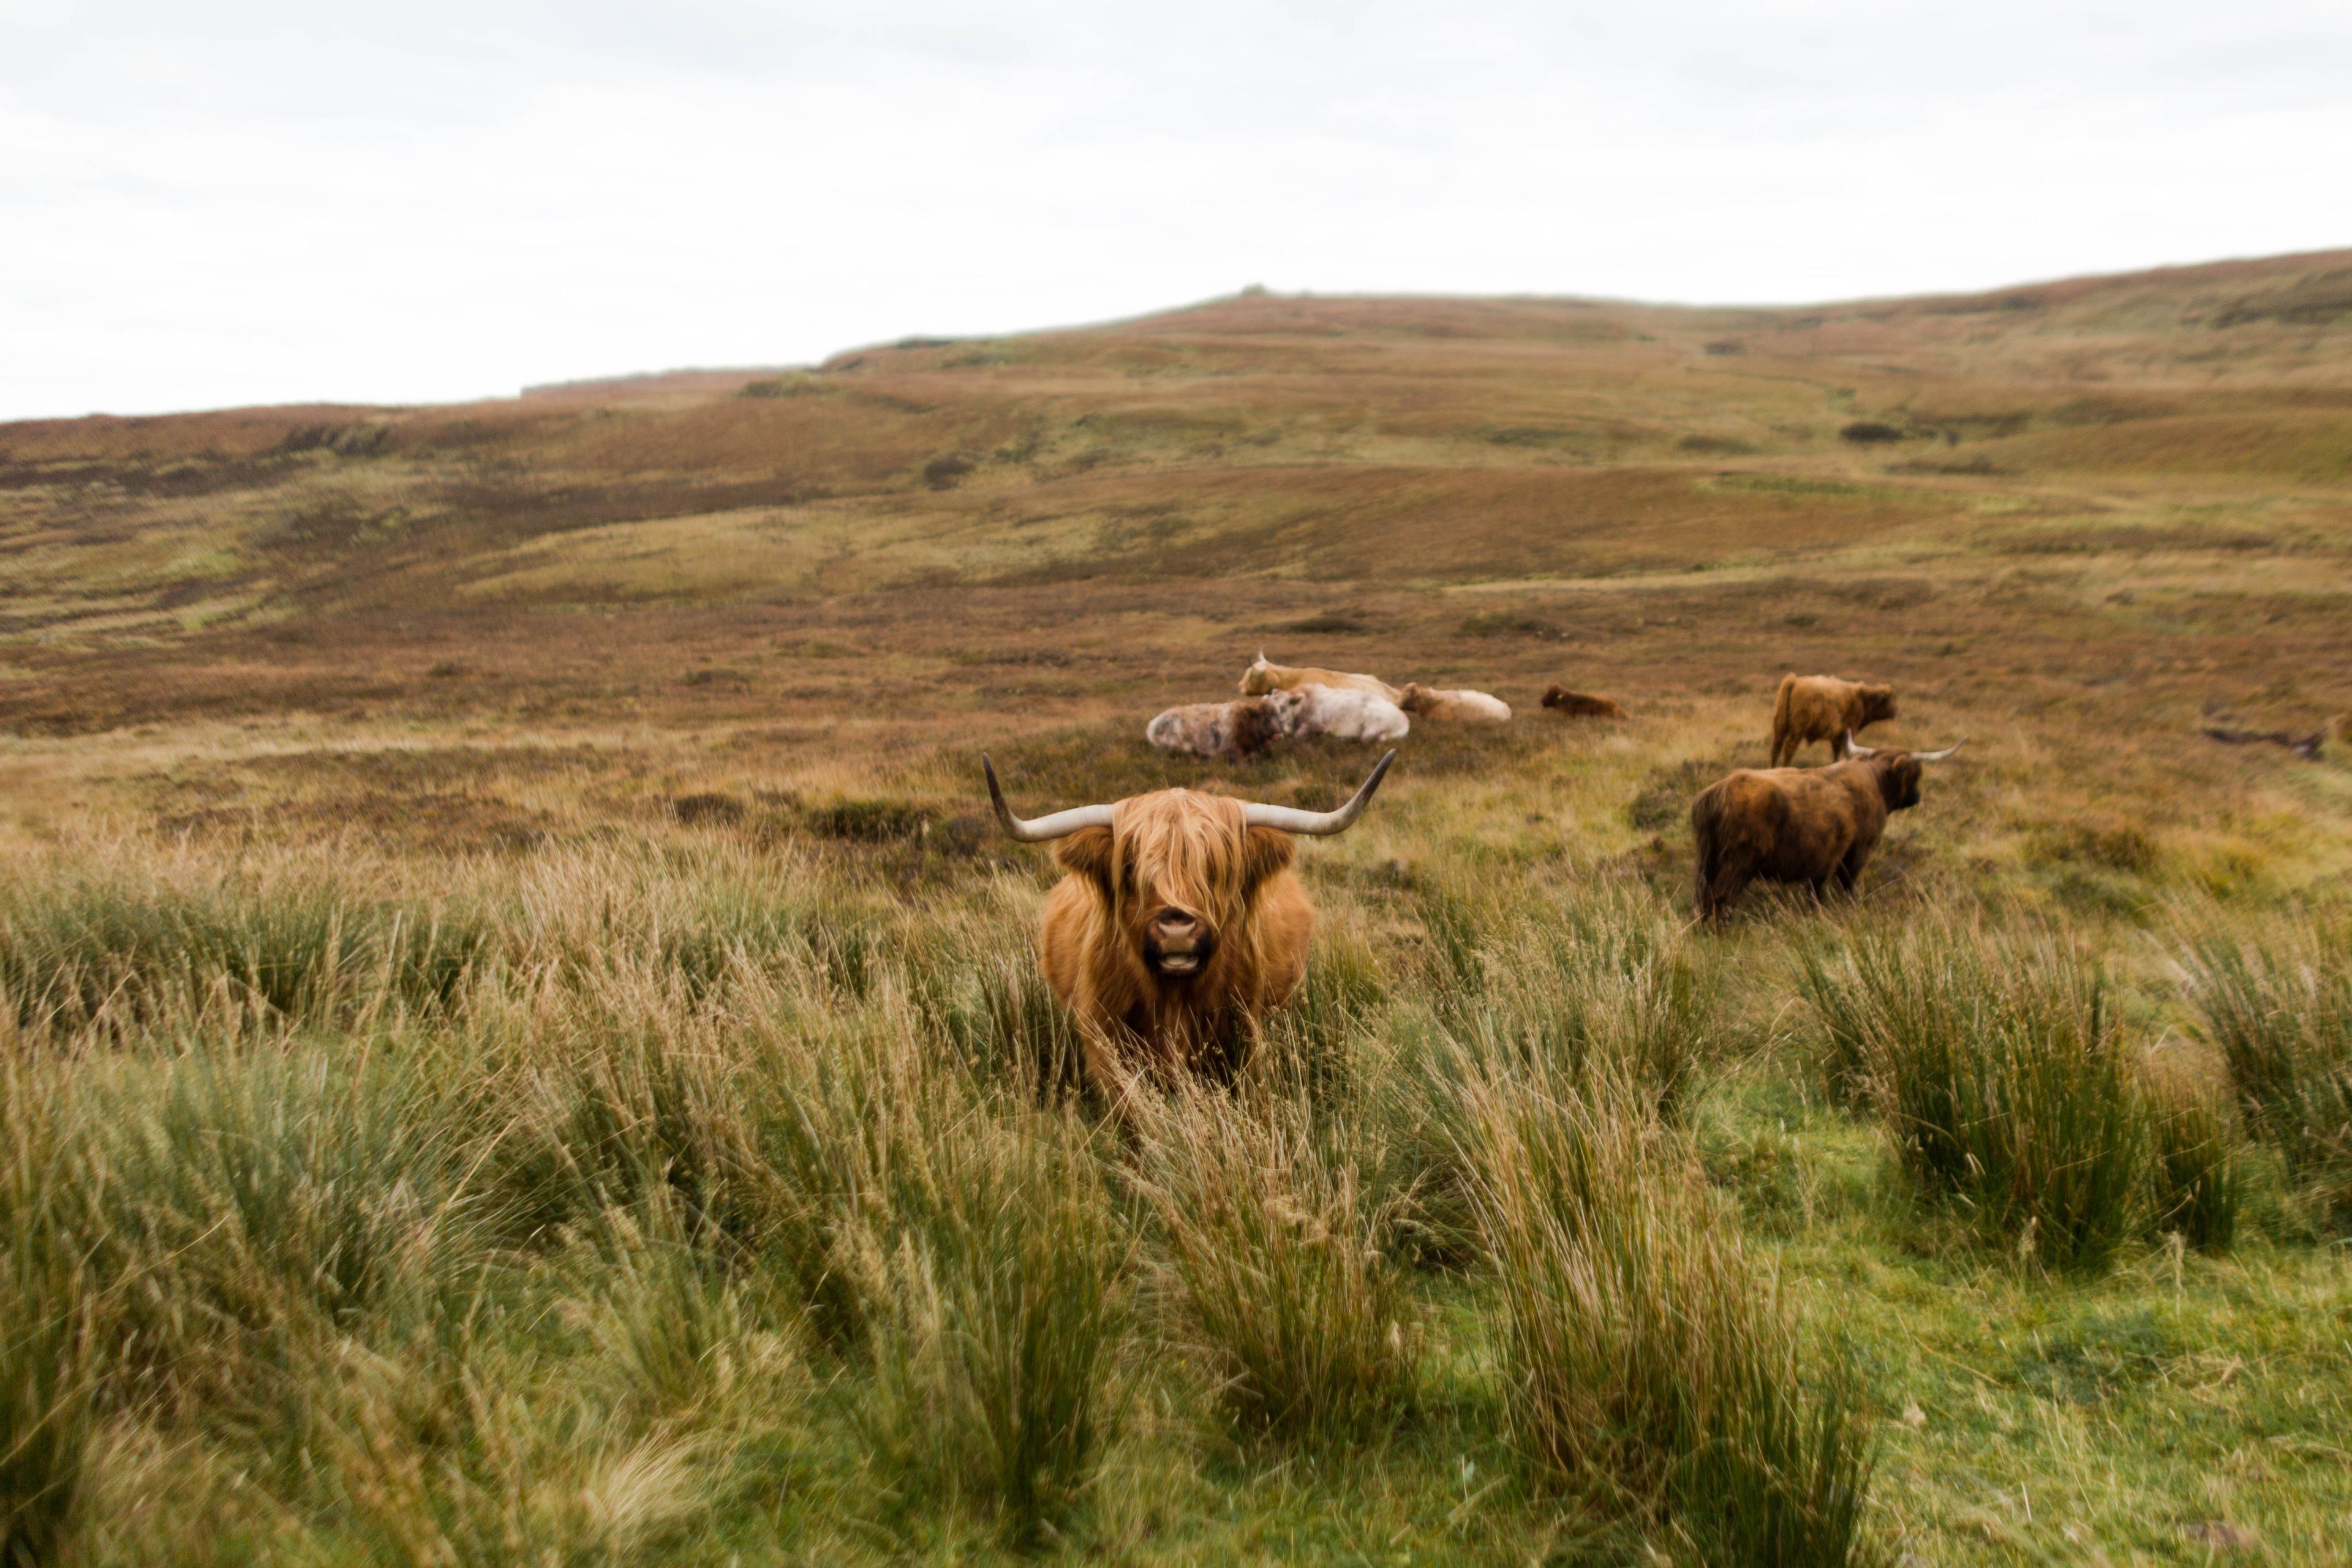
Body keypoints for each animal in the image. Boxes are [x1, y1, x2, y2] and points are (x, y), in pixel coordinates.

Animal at [978, 752, 1382, 1100]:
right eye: (1131, 868)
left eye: (1215, 870)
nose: (1176, 932)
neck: (1173, 1003)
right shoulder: (1105, 1041)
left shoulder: (1243, 1033)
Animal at [1693, 738, 1966, 921]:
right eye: (1915, 776)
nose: (1917, 796)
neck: (1875, 781)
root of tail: (1718, 791)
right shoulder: (1858, 850)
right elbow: (1847, 886)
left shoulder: (1822, 860)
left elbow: (1815, 892)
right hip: (1738, 862)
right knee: (1720, 897)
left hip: (1710, 860)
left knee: (1704, 898)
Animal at [1768, 677, 1900, 771]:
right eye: (1888, 700)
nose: (1896, 712)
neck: (1861, 699)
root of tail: (1794, 681)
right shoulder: (1845, 735)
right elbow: (1838, 753)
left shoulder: (1836, 738)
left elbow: (1835, 754)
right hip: (1797, 731)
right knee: (1789, 749)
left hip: (1779, 728)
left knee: (1776, 748)